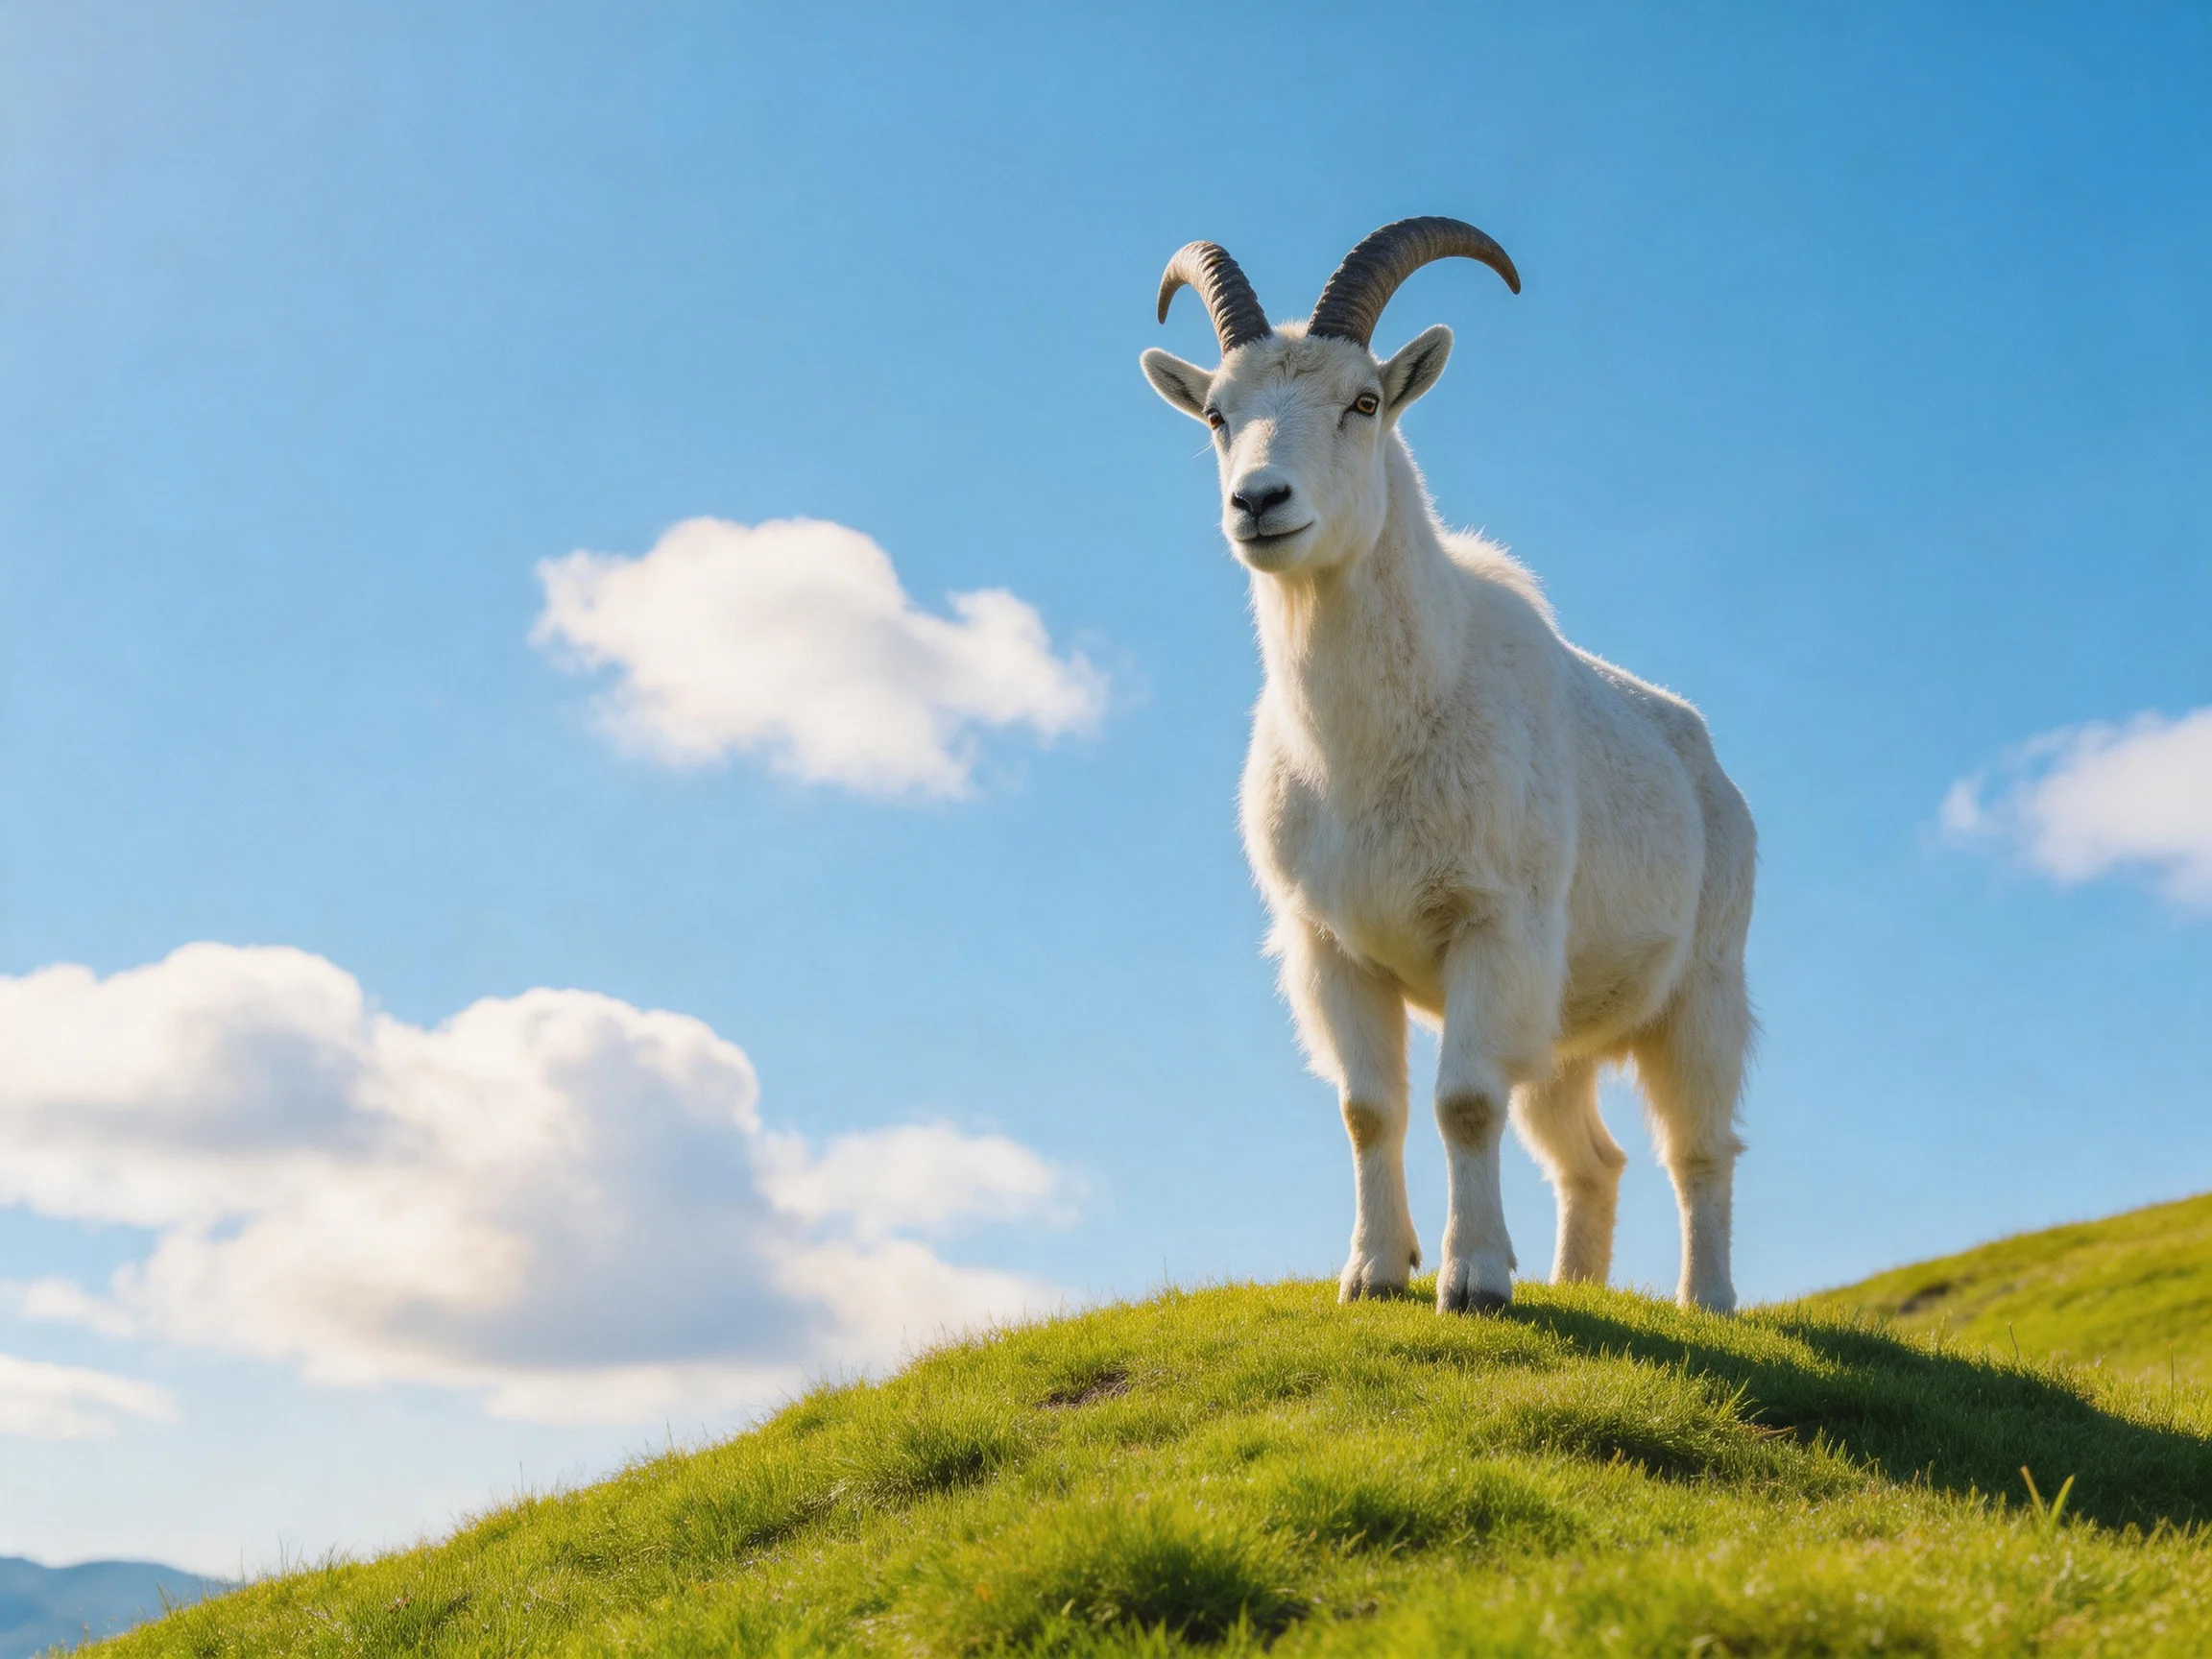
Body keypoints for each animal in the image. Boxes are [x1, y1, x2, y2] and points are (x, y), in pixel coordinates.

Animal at [1141, 219, 1755, 1313]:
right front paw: (1375, 1274)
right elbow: (1369, 1110)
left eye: (1364, 402)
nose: (1259, 503)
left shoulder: (1491, 927)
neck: (1368, 750)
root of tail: (1708, 763)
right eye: (1217, 413)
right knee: (1591, 1160)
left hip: (1704, 991)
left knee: (1700, 1149)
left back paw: (1709, 1302)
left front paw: (1471, 1283)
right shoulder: (1331, 949)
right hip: (1560, 1027)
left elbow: (1464, 1103)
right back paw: (1576, 1286)